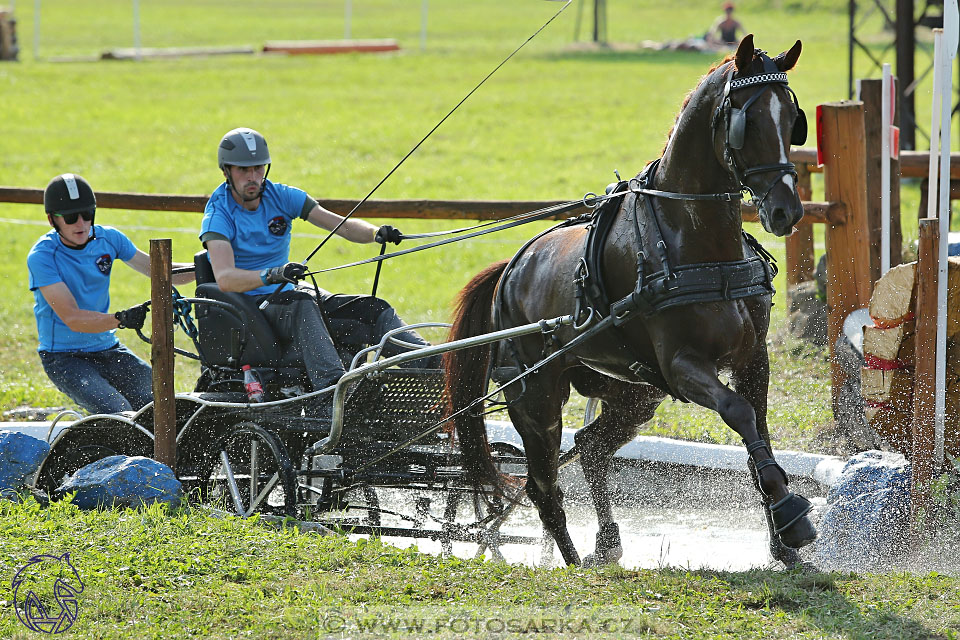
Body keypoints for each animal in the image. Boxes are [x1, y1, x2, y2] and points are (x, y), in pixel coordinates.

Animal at [446, 35, 812, 568]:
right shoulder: (682, 365)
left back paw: (606, 542)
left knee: (590, 447)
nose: (786, 210)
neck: (698, 243)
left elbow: (758, 431)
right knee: (543, 486)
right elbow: (739, 414)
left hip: (633, 390)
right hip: (537, 397)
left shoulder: (752, 357)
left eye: (792, 119)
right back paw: (573, 562)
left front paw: (782, 537)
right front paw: (790, 514)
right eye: (748, 120)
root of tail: (511, 269)